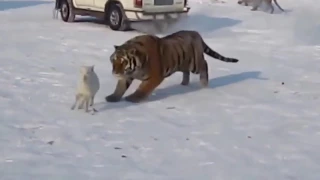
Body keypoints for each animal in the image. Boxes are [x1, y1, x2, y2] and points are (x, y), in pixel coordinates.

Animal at [105, 30, 238, 103]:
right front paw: (112, 98)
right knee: (186, 72)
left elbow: (143, 88)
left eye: (123, 62)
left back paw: (204, 84)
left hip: (195, 64)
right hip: (184, 63)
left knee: (204, 64)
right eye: (113, 60)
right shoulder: (127, 75)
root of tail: (196, 33)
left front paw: (133, 98)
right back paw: (184, 84)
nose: (115, 72)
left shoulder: (154, 76)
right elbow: (120, 88)